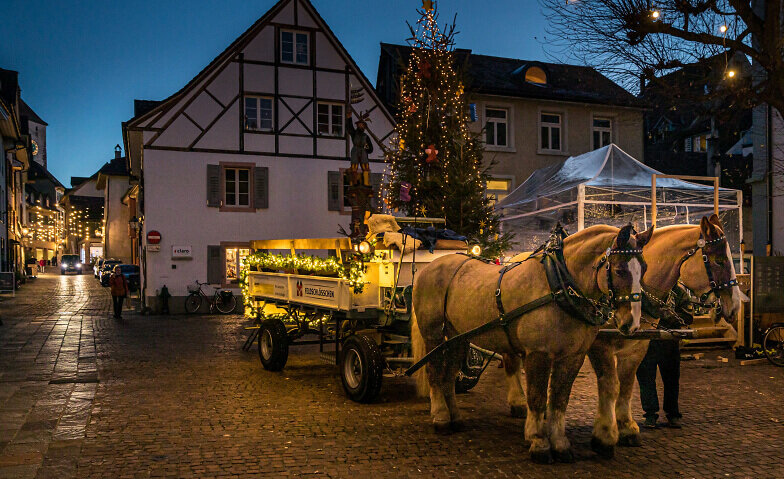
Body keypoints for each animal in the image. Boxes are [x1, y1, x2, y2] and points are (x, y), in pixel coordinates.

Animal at [410, 225, 648, 464]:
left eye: (644, 269)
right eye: (620, 270)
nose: (632, 323)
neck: (558, 287)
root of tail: (429, 267)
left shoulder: (573, 356)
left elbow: (560, 398)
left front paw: (560, 444)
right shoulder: (538, 353)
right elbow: (537, 397)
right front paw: (539, 442)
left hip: (457, 337)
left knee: (448, 376)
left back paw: (455, 418)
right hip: (433, 335)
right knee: (433, 373)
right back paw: (440, 418)